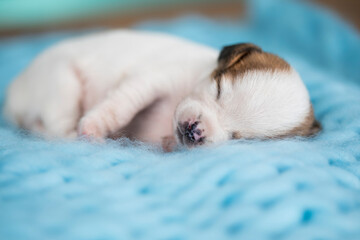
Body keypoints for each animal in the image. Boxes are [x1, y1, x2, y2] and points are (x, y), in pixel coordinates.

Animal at [2, 30, 320, 150]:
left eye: (238, 137)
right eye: (218, 89)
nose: (194, 130)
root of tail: (11, 99)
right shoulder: (153, 79)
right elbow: (122, 105)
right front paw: (94, 126)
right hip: (61, 83)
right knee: (57, 128)